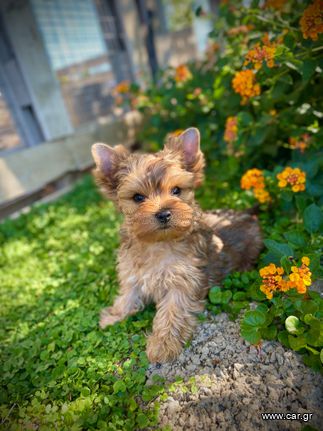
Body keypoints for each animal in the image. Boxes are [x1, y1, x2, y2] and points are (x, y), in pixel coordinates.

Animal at [92, 129, 264, 364]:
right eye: (137, 197)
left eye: (176, 190)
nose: (163, 213)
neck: (158, 244)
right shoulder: (132, 271)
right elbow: (128, 294)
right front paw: (115, 315)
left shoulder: (183, 280)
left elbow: (172, 311)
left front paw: (162, 345)